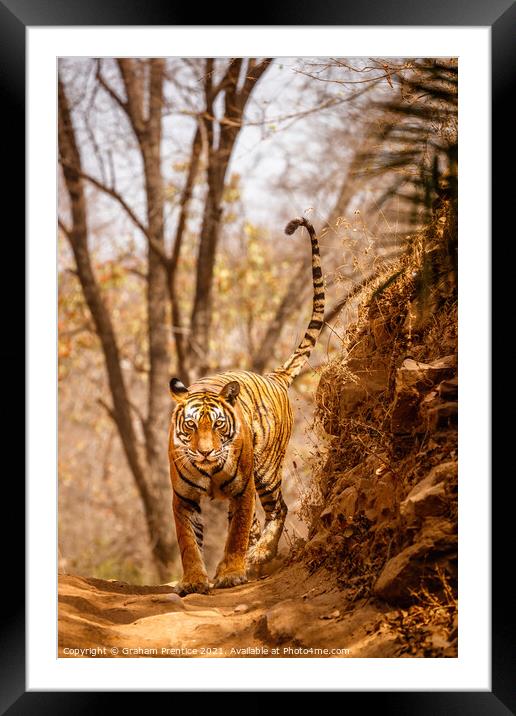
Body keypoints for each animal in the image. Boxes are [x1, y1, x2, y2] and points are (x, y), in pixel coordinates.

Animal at [168, 217, 322, 592]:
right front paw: (194, 581)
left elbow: (236, 533)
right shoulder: (184, 498)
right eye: (191, 426)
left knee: (279, 509)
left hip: (265, 471)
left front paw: (232, 573)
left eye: (218, 425)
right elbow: (188, 541)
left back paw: (259, 555)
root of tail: (274, 376)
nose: (206, 452)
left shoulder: (242, 490)